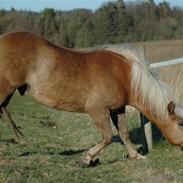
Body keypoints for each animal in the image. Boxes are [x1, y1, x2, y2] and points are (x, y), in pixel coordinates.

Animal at [0, 31, 183, 167]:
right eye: (181, 124)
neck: (123, 76)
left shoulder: (117, 109)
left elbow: (123, 133)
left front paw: (135, 155)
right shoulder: (97, 110)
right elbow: (108, 137)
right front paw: (86, 159)